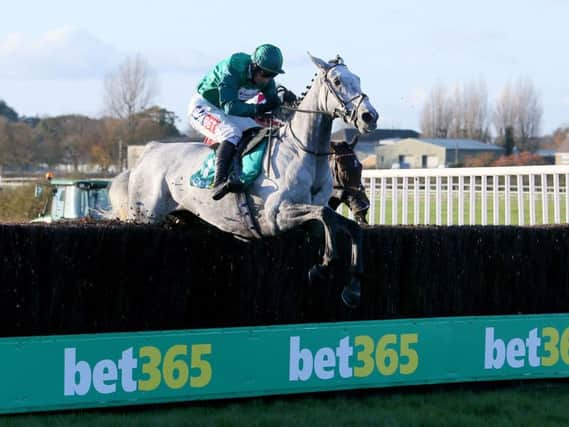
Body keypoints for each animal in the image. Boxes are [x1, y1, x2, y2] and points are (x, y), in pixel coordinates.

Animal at [109, 52, 380, 308]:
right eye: (337, 81)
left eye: (357, 79)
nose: (370, 117)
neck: (302, 152)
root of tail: (149, 150)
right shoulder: (276, 215)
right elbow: (325, 216)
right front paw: (323, 266)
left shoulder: (306, 221)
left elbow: (345, 225)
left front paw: (353, 287)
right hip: (144, 216)